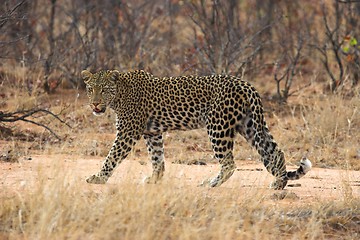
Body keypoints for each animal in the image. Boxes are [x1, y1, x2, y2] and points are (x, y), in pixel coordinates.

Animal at [81, 69, 312, 189]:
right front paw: (155, 179)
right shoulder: (152, 132)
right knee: (275, 152)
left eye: (104, 90)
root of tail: (246, 85)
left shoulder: (127, 133)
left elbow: (112, 156)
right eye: (91, 89)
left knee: (229, 163)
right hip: (249, 125)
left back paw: (211, 183)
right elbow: (157, 157)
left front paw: (98, 178)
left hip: (218, 127)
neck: (119, 94)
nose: (94, 104)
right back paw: (279, 183)